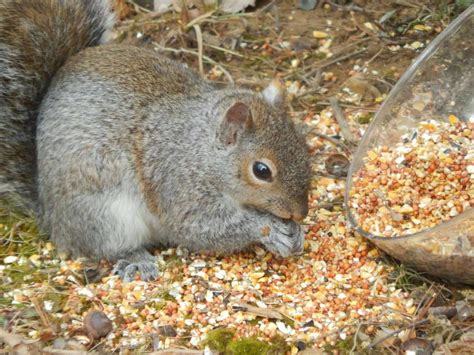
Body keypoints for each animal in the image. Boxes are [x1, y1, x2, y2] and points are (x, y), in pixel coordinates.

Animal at [0, 1, 312, 282]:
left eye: (303, 147)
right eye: (261, 171)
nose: (300, 212)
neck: (201, 150)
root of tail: (49, 215)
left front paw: (295, 232)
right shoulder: (178, 185)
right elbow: (204, 227)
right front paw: (269, 229)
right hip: (104, 215)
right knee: (104, 247)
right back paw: (137, 259)